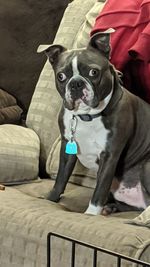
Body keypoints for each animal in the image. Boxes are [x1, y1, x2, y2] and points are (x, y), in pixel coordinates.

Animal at [38, 29, 150, 217]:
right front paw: (51, 199)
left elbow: (99, 190)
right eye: (61, 76)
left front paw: (90, 214)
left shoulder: (109, 156)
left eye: (93, 72)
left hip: (147, 165)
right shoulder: (67, 149)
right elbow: (61, 178)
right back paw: (111, 207)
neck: (87, 116)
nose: (76, 83)